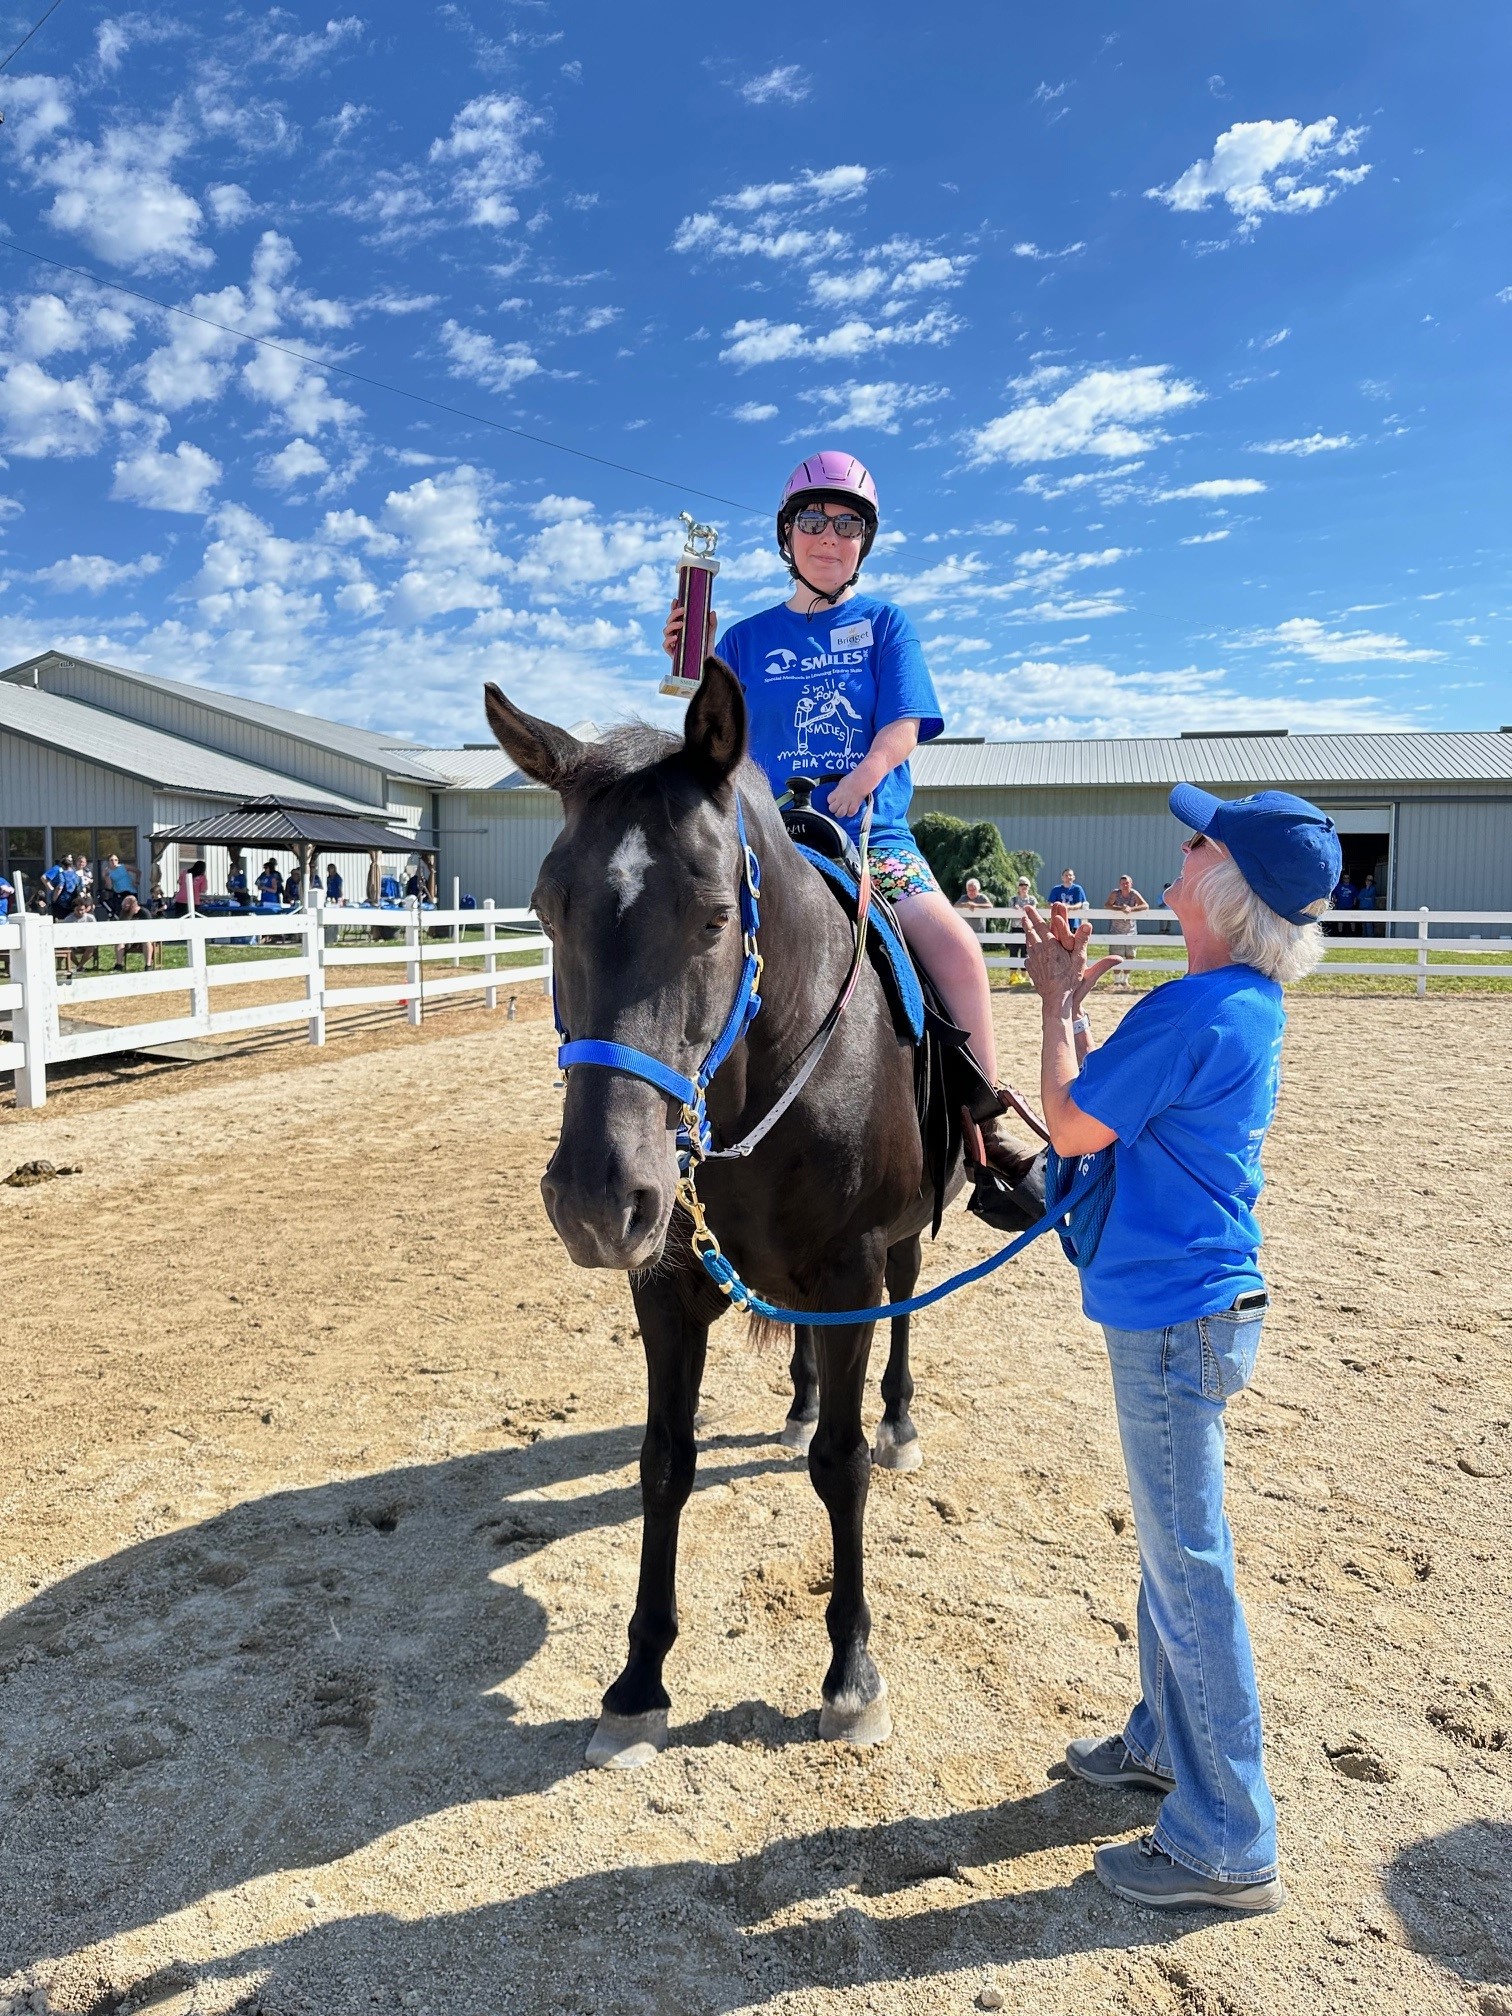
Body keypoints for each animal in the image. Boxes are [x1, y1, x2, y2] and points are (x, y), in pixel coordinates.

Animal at [484, 658, 1028, 1768]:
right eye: (548, 910)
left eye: (711, 916)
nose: (597, 1197)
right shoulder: (668, 1283)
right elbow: (664, 1464)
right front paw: (638, 1683)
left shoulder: (851, 1272)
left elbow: (843, 1469)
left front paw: (852, 1673)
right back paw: (800, 1400)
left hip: (895, 1255)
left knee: (900, 1332)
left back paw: (897, 1417)